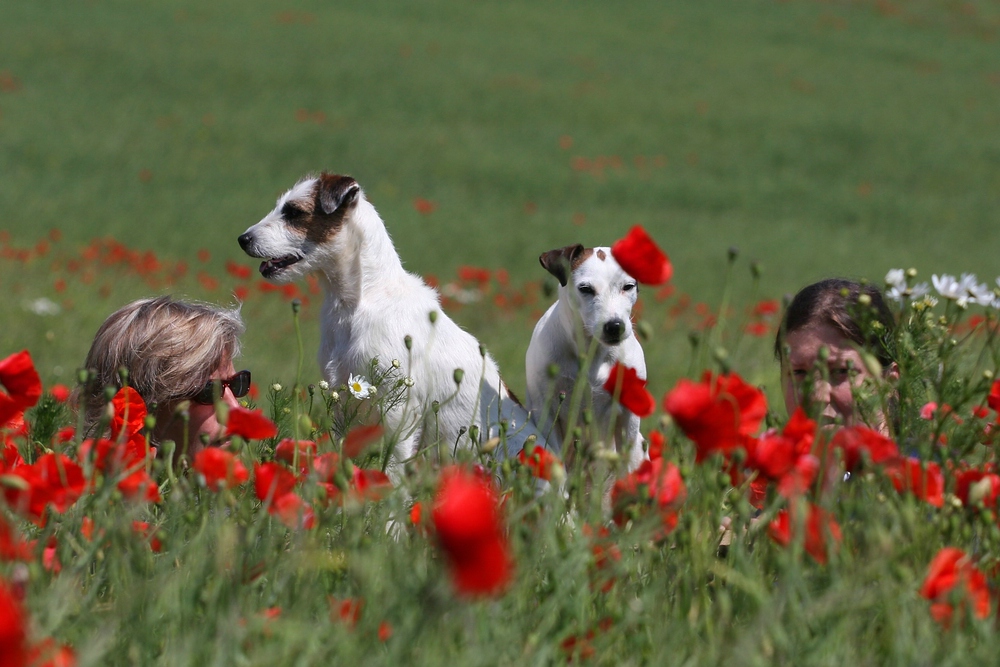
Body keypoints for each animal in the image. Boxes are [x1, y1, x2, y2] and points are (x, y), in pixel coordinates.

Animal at [237, 172, 544, 474]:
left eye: (294, 212)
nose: (242, 238)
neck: (359, 300)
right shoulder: (341, 397)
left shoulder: (398, 412)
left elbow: (394, 467)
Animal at [524, 244, 648, 470]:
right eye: (586, 289)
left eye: (628, 286)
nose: (614, 326)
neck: (592, 351)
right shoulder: (546, 411)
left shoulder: (628, 417)